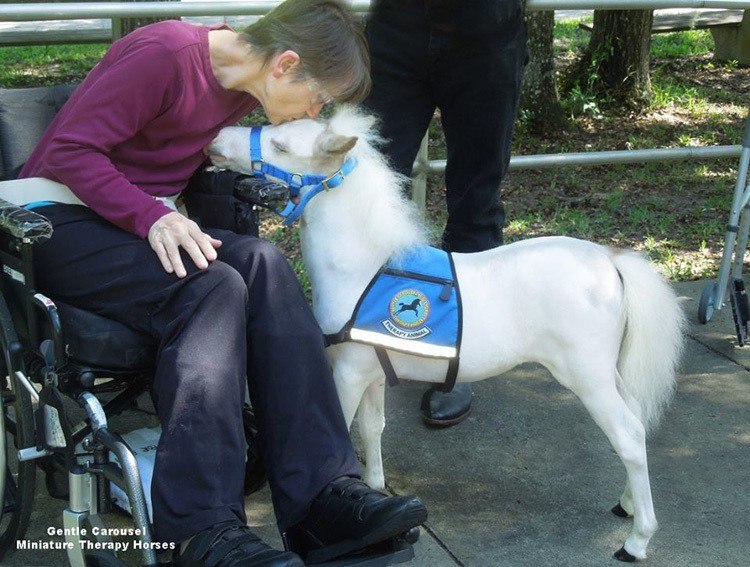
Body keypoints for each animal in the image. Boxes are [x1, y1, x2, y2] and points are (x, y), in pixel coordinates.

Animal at [206, 107, 686, 562]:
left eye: (281, 145)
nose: (216, 140)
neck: (365, 269)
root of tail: (611, 261)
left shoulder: (346, 374)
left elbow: (341, 431)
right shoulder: (370, 372)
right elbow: (372, 429)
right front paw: (374, 495)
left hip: (588, 379)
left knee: (628, 434)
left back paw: (636, 541)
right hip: (608, 375)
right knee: (636, 422)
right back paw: (626, 504)